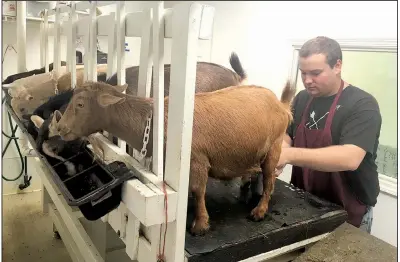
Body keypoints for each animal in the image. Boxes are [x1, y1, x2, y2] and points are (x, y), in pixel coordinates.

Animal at [50, 80, 296, 235]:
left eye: (80, 104)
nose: (60, 128)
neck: (155, 124)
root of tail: (282, 105)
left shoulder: (197, 161)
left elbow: (198, 190)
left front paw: (200, 225)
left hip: (275, 146)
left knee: (270, 178)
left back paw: (259, 211)